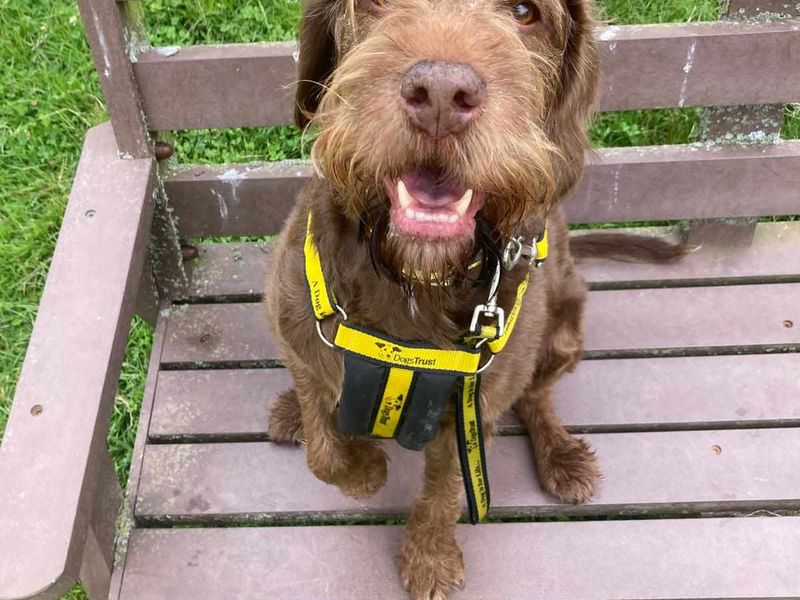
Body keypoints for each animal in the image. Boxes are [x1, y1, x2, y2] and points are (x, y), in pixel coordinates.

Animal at [266, 1, 604, 596]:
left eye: (526, 12)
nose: (442, 95)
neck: (414, 281)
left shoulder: (474, 406)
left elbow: (446, 492)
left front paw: (429, 558)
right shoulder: (295, 321)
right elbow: (322, 448)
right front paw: (364, 470)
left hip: (563, 331)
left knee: (538, 397)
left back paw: (562, 456)